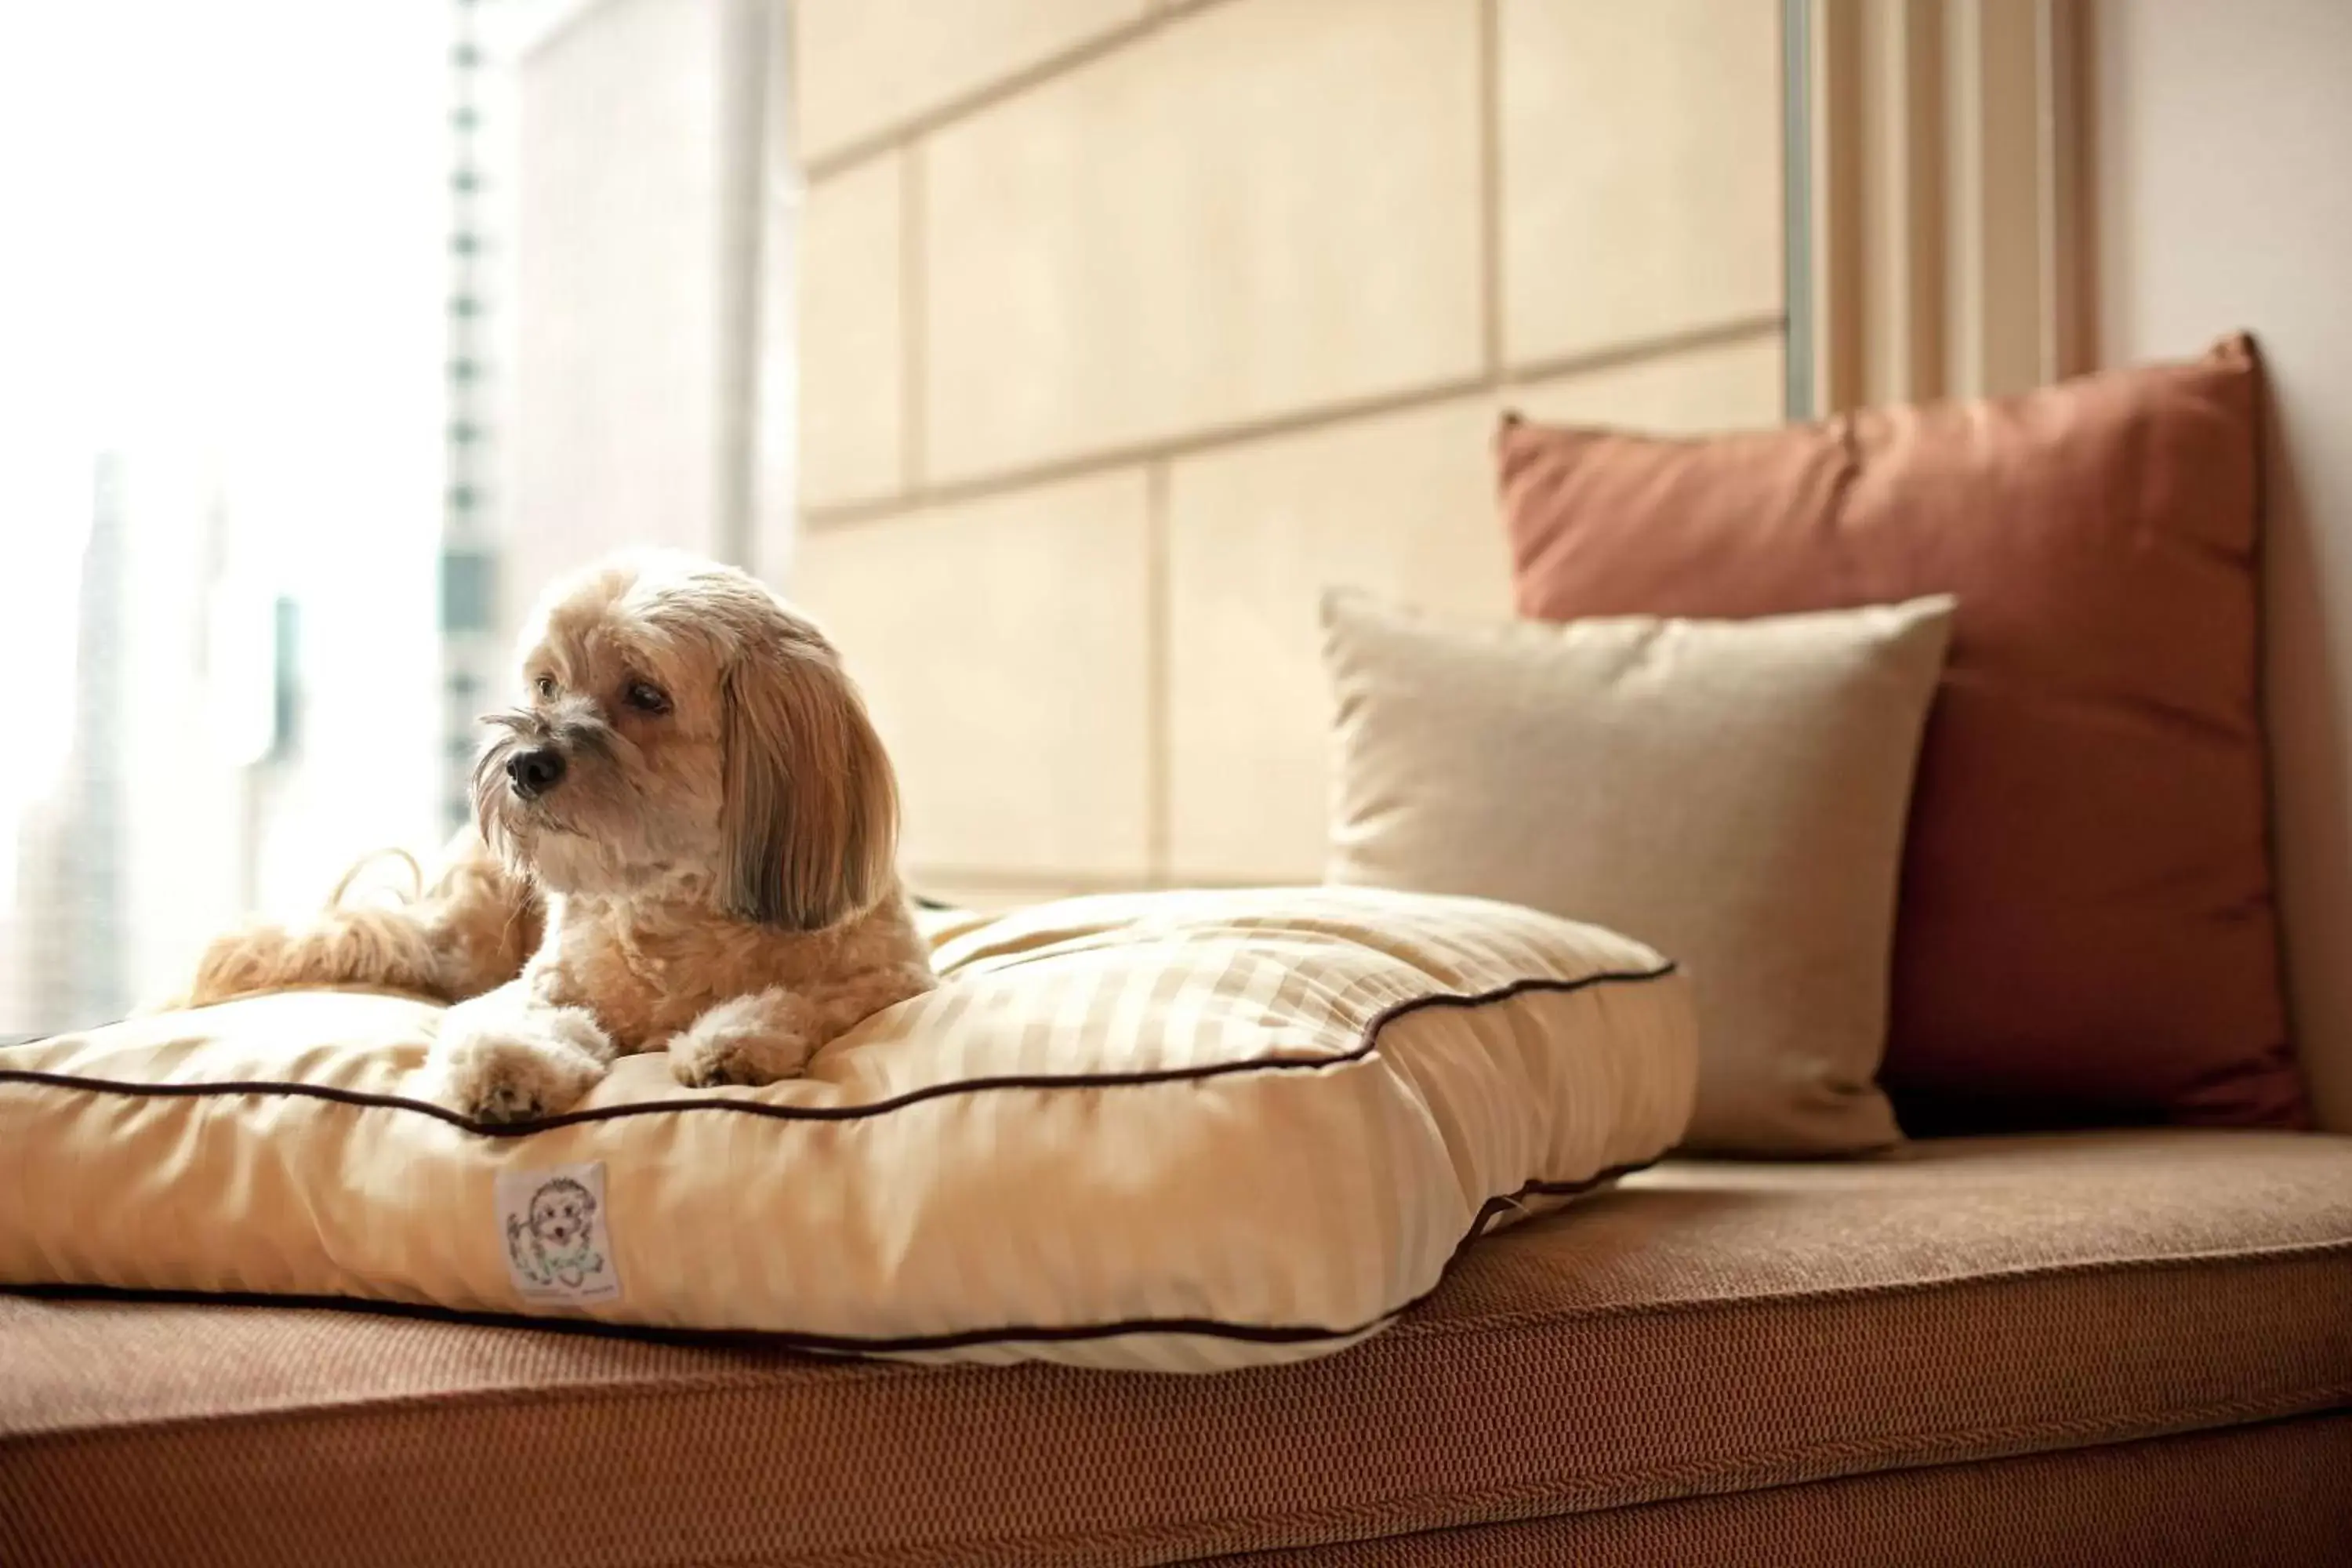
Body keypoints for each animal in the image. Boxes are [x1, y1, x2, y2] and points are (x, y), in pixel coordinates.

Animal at [186, 550, 936, 1114]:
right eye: (547, 685)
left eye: (646, 695)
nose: (524, 763)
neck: (677, 909)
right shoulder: (540, 986)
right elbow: (515, 1019)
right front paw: (506, 1066)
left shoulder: (891, 981)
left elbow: (803, 1000)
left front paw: (734, 1042)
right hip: (466, 936)